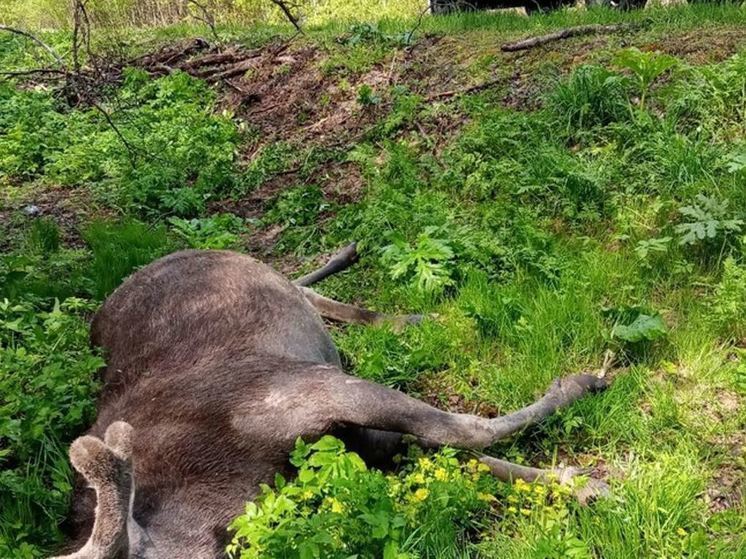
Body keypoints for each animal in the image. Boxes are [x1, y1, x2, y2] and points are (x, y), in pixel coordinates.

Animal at [53, 247, 612, 556]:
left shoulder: (310, 390)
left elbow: (464, 430)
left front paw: (580, 387)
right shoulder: (360, 438)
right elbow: (452, 450)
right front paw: (579, 483)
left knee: (309, 289)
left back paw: (406, 305)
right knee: (307, 292)